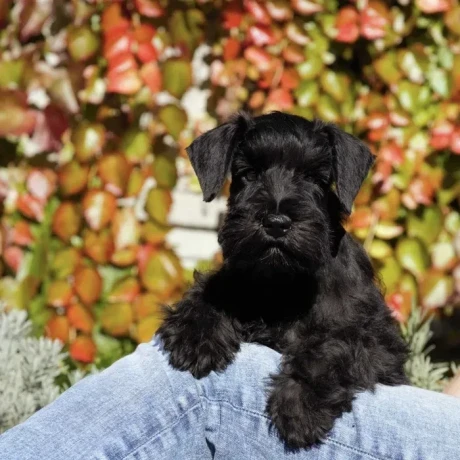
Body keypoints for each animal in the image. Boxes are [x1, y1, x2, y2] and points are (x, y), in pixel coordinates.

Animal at [157, 110, 406, 450]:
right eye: (249, 174)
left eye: (313, 178)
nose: (276, 222)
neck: (282, 282)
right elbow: (211, 290)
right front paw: (195, 335)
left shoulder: (374, 343)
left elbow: (329, 347)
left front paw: (299, 407)